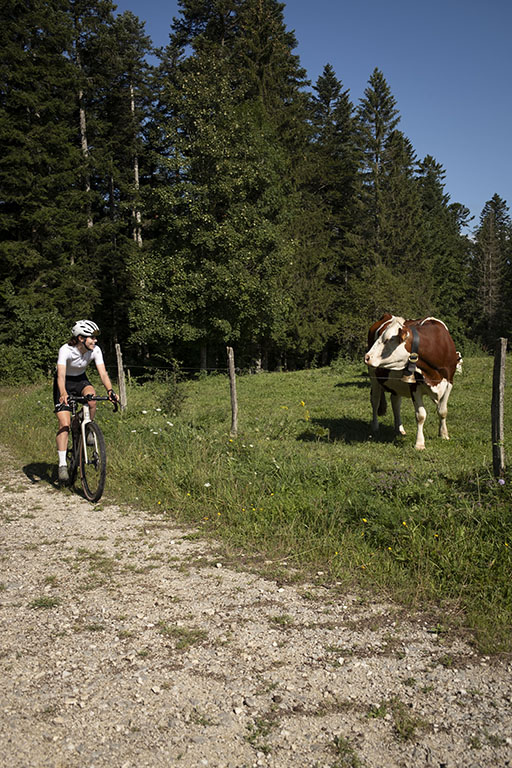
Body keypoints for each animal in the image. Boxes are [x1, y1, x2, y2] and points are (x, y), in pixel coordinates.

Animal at [364, 316, 460, 450]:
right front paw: (419, 443)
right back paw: (375, 426)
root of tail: (387, 315)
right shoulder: (414, 386)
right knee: (375, 400)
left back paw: (399, 429)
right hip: (374, 378)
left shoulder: (449, 382)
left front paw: (444, 434)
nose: (367, 357)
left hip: (396, 384)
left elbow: (442, 411)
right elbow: (421, 415)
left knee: (395, 402)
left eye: (387, 340)